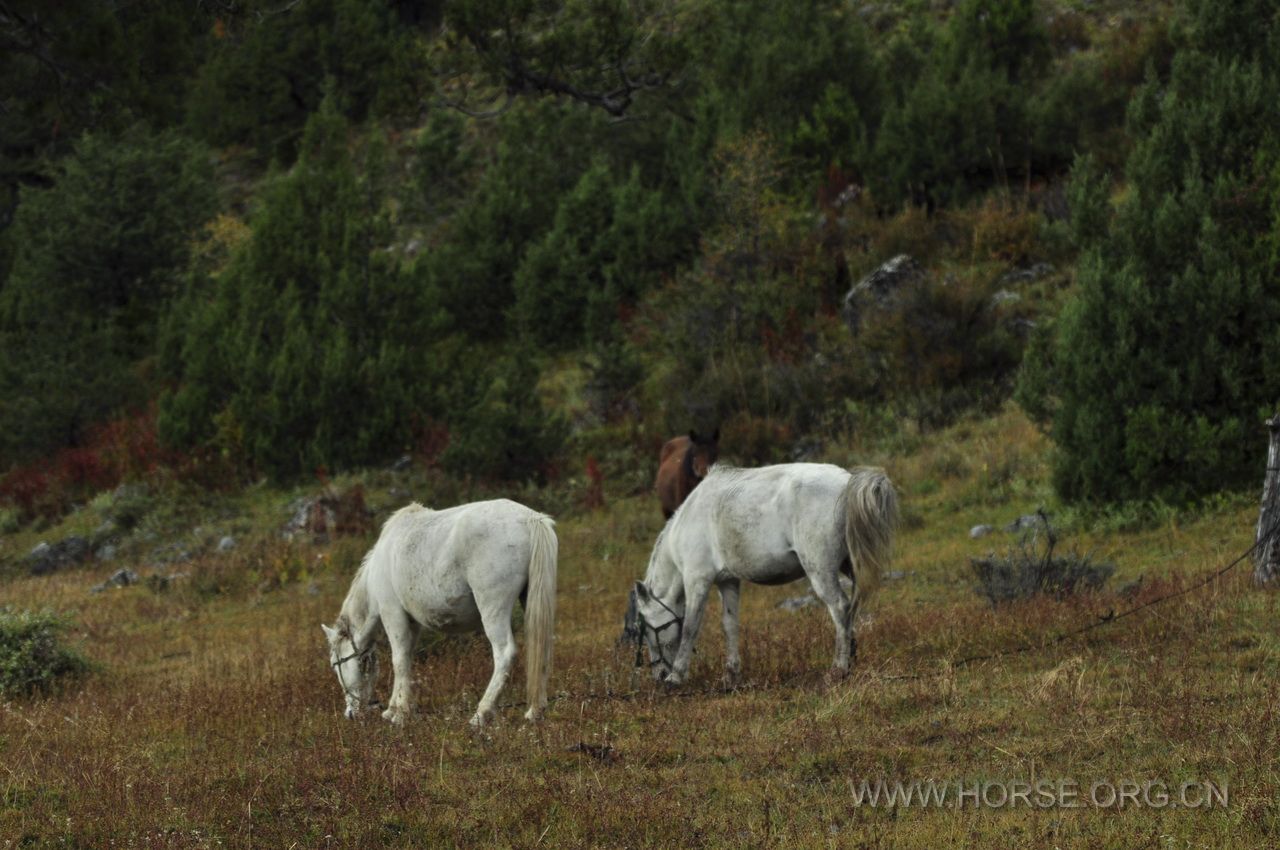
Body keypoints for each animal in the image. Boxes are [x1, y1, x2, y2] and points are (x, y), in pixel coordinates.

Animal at [322, 501, 552, 727]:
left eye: (335, 665)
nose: (350, 714)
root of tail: (531, 518)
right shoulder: (412, 623)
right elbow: (406, 658)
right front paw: (394, 709)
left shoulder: (392, 614)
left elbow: (399, 660)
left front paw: (400, 714)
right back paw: (535, 712)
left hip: (493, 607)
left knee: (504, 652)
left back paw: (481, 714)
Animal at [624, 465, 896, 686]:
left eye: (647, 629)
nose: (658, 675)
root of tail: (847, 482)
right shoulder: (728, 581)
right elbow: (729, 625)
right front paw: (731, 675)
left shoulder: (697, 580)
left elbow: (691, 627)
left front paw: (677, 675)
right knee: (851, 610)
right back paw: (849, 659)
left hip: (820, 570)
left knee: (840, 608)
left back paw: (838, 669)